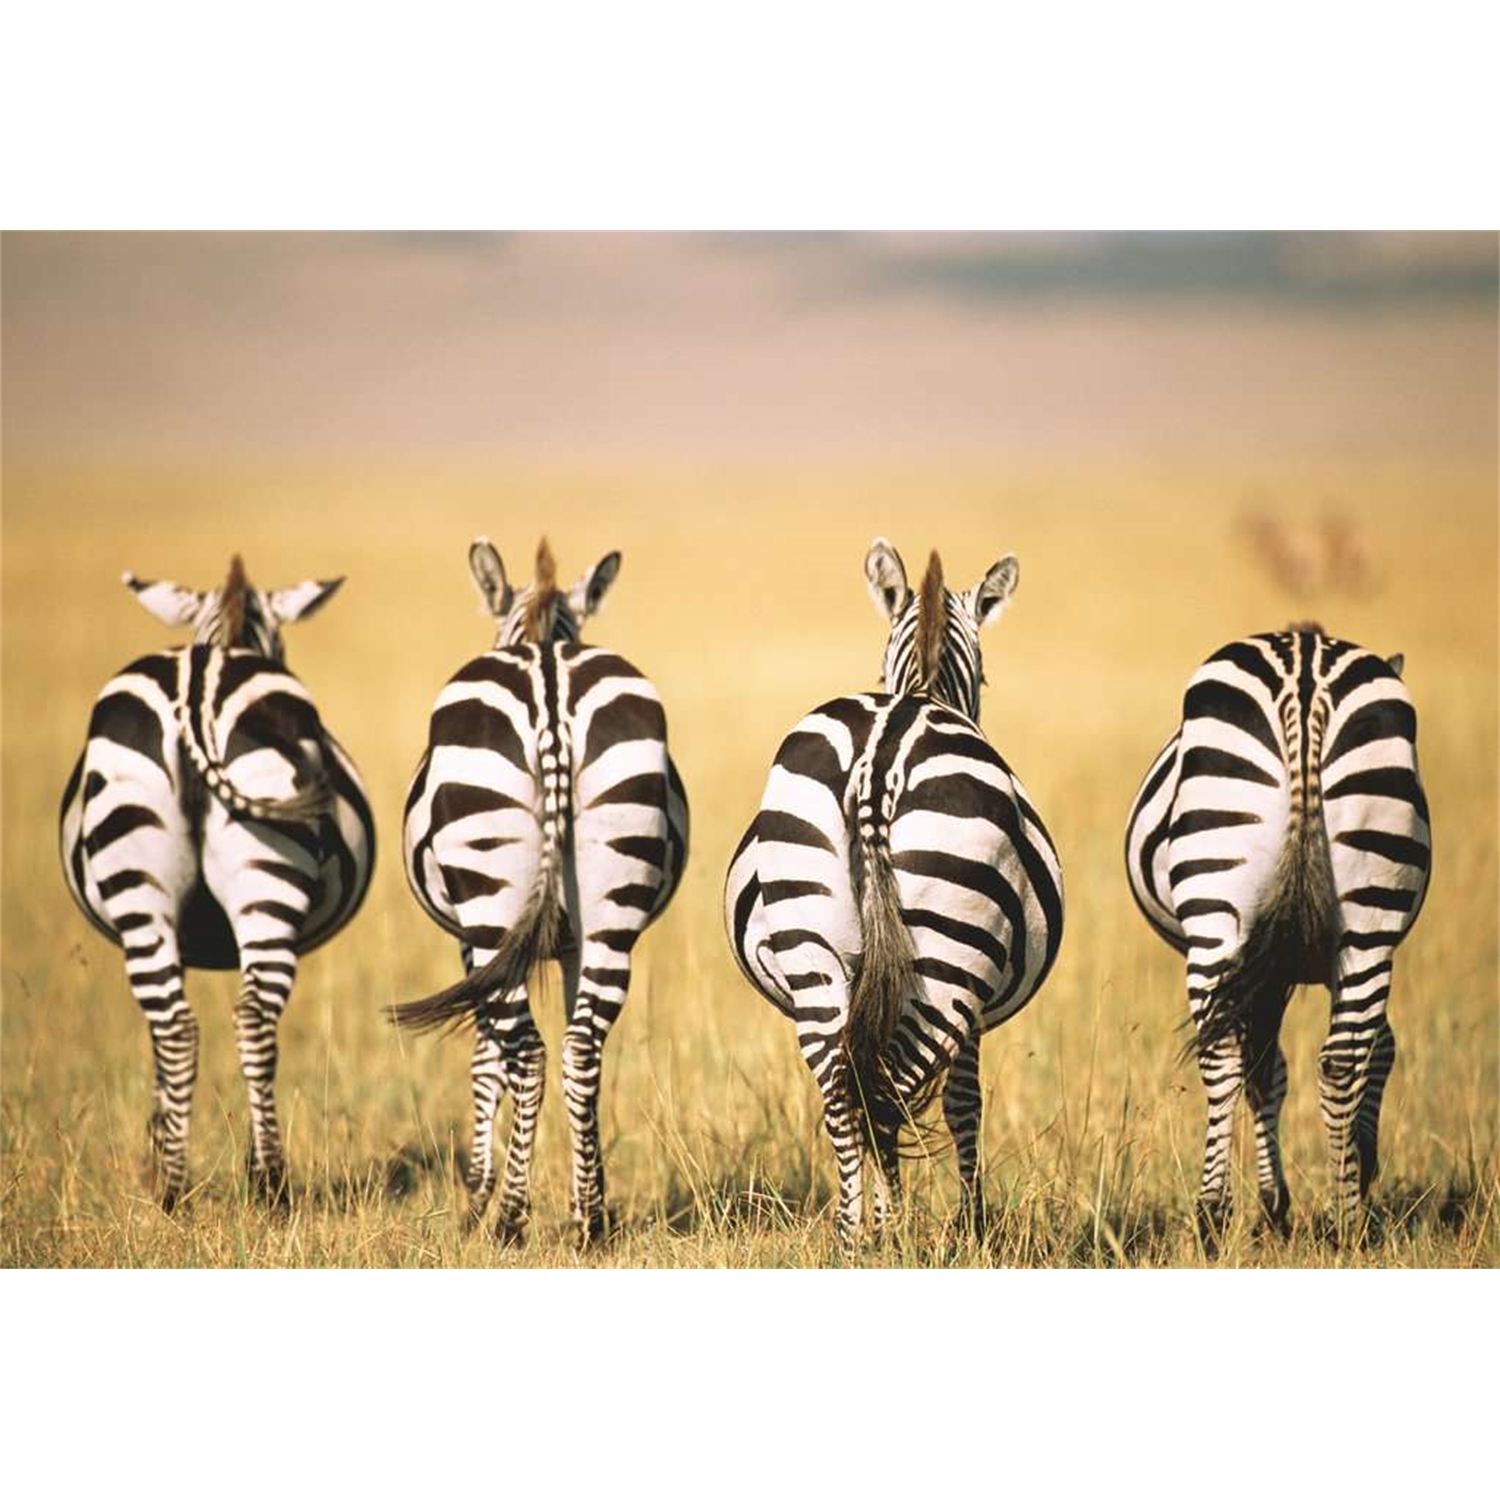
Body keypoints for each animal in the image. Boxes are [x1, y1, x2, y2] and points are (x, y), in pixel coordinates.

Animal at [59, 556, 375, 1209]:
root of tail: (198, 683)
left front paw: (161, 1144)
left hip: (183, 884)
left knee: (215, 1024)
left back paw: (226, 1185)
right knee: (217, 1024)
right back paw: (211, 1182)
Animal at [391, 537, 688, 1245]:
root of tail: (550, 685)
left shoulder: (471, 947)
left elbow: (484, 1058)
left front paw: (476, 1195)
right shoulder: (574, 943)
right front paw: (585, 1194)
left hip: (490, 903)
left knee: (526, 1053)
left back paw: (508, 1217)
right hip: (611, 905)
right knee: (582, 1049)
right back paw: (591, 1221)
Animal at [724, 538, 1064, 1246]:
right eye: (986, 682)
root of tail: (881, 754)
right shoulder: (972, 1018)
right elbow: (964, 1103)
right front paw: (972, 1225)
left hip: (812, 951)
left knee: (844, 1090)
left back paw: (853, 1235)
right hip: (947, 965)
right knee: (885, 1090)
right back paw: (890, 1230)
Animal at [1124, 626, 1430, 1244]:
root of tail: (1305, 672)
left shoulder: (1270, 969)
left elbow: (1268, 1067)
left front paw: (1278, 1201)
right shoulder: (1285, 965)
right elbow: (1353, 1051)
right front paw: (1299, 1193)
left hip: (1223, 911)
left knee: (1232, 1051)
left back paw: (1217, 1213)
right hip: (1363, 918)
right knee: (1337, 1058)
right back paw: (1341, 1221)